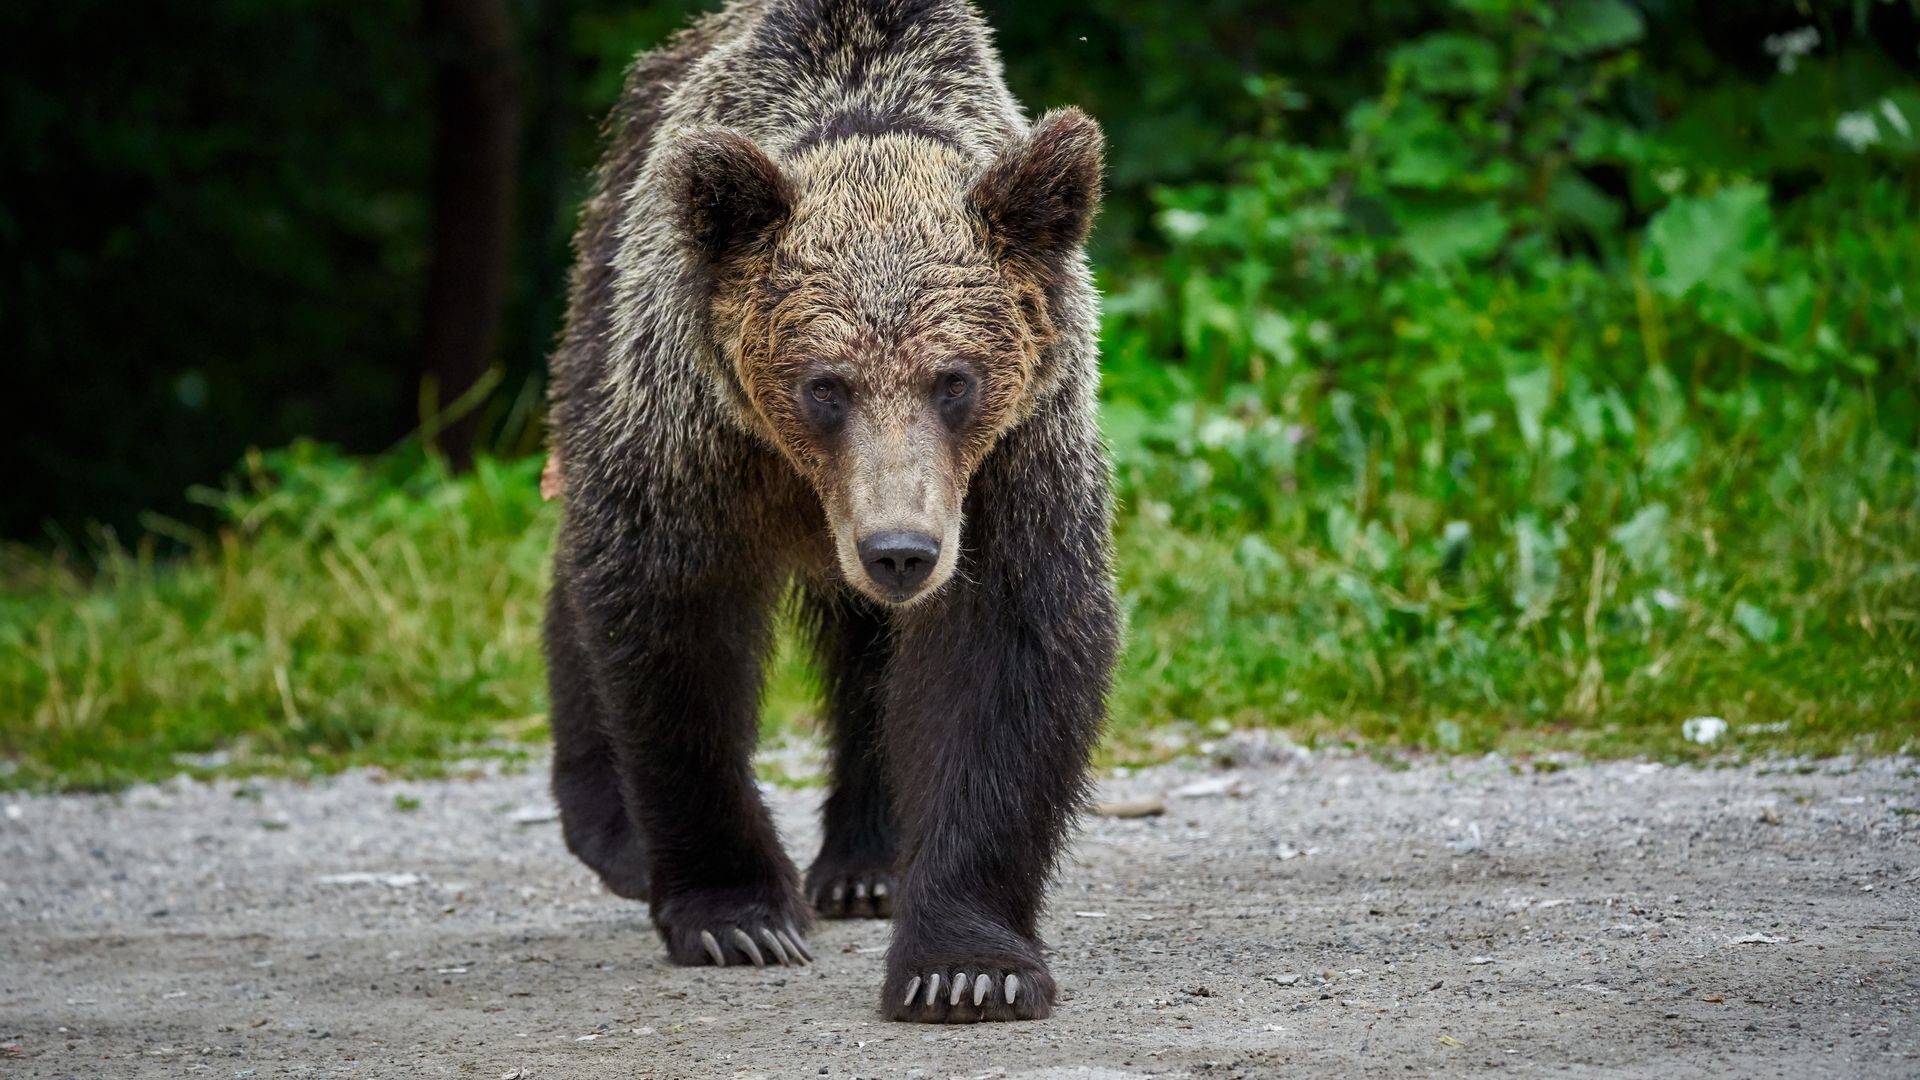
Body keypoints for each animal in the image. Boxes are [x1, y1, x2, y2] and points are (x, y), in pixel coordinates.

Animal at [541, 0, 1121, 1014]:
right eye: (825, 384)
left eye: (954, 380)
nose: (899, 550)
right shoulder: (696, 437)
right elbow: (673, 633)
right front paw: (736, 915)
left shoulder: (1010, 461)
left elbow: (1002, 653)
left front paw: (966, 964)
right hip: (596, 320)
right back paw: (613, 832)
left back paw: (866, 866)